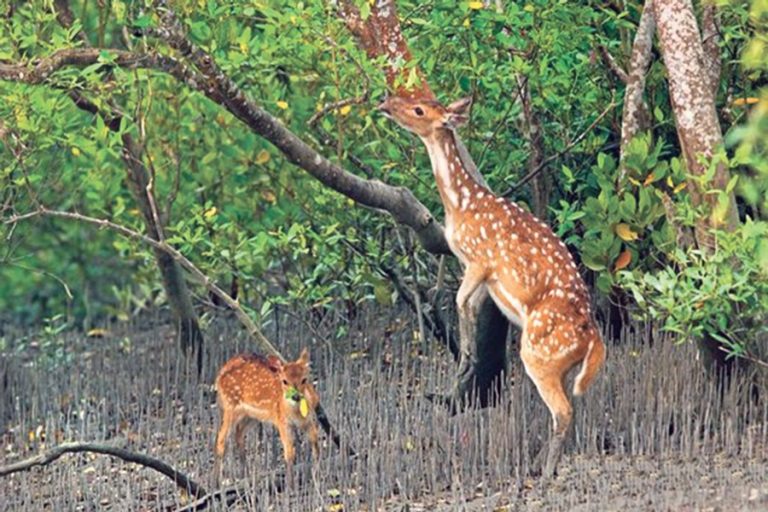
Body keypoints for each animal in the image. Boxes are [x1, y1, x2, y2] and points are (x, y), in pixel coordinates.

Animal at [212, 346, 320, 482]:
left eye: (304, 379)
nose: (295, 396)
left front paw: (317, 475)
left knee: (239, 433)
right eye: (284, 381)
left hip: (251, 415)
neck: (296, 414)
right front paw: (291, 485)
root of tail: (220, 374)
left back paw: (244, 474)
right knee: (221, 440)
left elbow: (315, 442)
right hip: (230, 407)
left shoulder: (308, 421)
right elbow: (289, 454)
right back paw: (216, 483)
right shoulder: (281, 421)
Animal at [378, 94, 608, 478]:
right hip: (562, 364)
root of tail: (593, 339)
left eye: (419, 109)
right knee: (571, 404)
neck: (460, 205)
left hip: (539, 354)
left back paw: (545, 471)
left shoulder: (480, 259)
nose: (385, 103)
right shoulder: (482, 274)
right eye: (416, 99)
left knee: (564, 411)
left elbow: (458, 301)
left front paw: (464, 359)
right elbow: (469, 306)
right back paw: (537, 461)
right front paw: (466, 361)